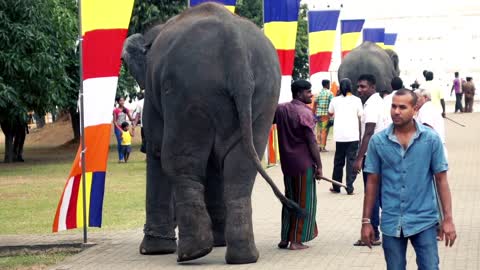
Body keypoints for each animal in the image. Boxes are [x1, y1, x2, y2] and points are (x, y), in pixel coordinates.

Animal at [124, 2, 304, 264]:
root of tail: (235, 49)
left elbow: (157, 149)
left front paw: (153, 251)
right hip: (264, 92)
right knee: (239, 167)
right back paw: (243, 256)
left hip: (188, 90)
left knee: (180, 161)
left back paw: (192, 253)